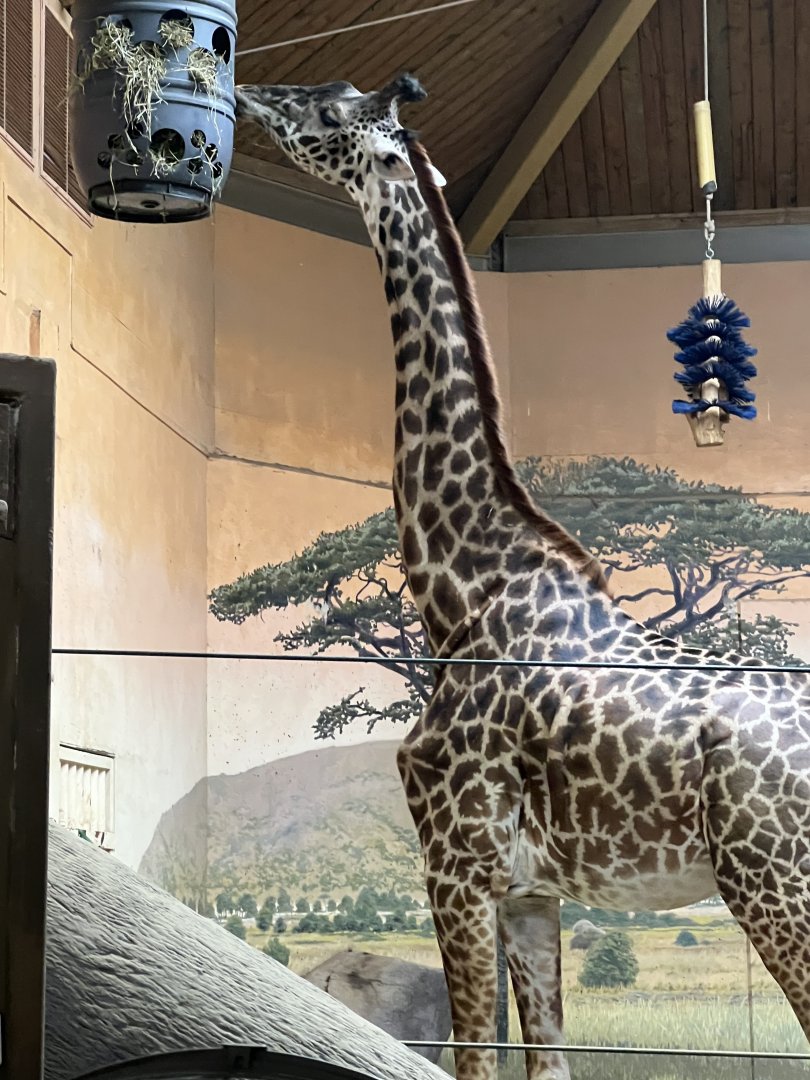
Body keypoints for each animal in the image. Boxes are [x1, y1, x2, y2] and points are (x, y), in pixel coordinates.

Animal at [235, 76, 810, 1080]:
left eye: (332, 112)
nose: (246, 91)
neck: (461, 586)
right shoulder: (532, 889)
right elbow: (546, 1059)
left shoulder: (455, 860)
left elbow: (471, 1054)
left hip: (773, 881)